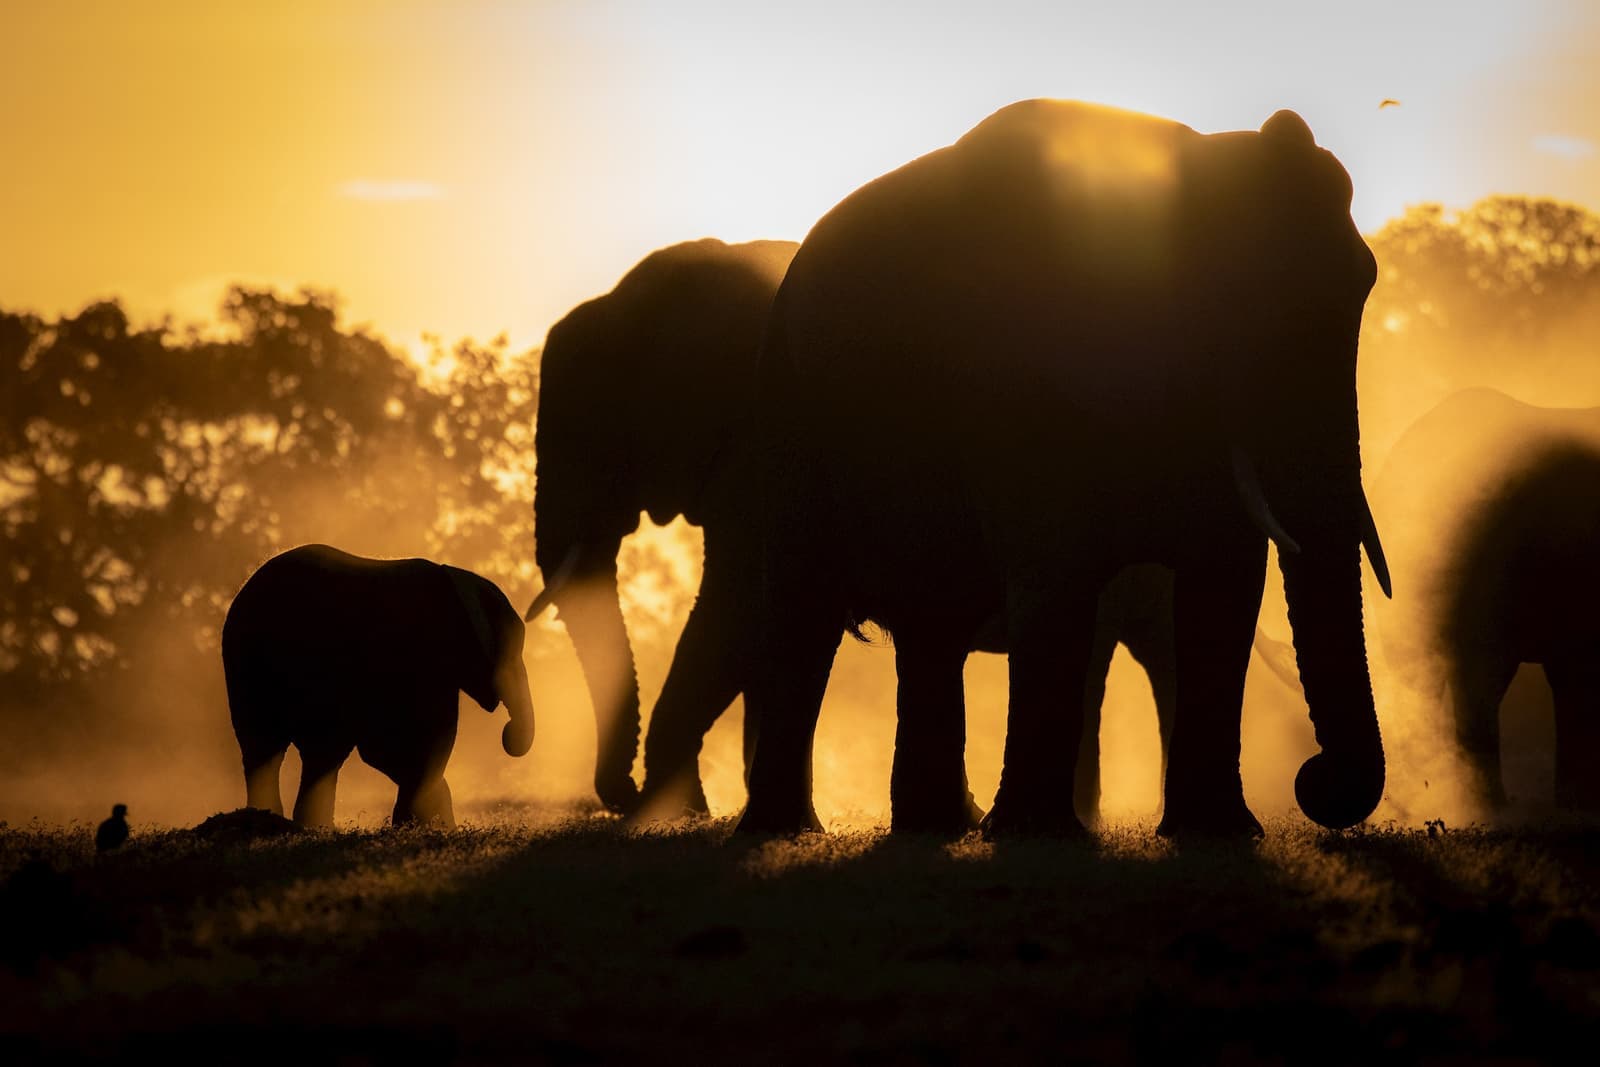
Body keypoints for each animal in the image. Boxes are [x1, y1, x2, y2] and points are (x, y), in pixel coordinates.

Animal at [222, 544, 535, 827]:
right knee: (306, 747)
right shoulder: (417, 657)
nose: (508, 734)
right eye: (512, 653)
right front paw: (418, 826)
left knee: (274, 748)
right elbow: (418, 741)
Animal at [736, 98, 1391, 839]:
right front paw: (1035, 835)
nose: (1314, 778)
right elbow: (1058, 575)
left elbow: (1225, 579)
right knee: (806, 611)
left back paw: (933, 828)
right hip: (787, 411)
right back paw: (787, 831)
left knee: (932, 623)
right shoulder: (1025, 380)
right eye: (1236, 303)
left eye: (1364, 287)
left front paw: (1218, 834)